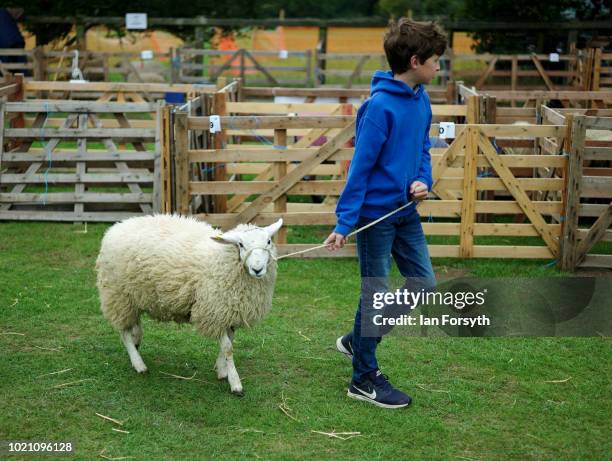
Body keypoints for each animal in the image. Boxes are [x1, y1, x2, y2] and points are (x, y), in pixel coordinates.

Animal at [96, 214, 284, 394]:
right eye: (241, 244)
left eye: (268, 241)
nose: (257, 269)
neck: (221, 259)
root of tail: (118, 226)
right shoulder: (213, 311)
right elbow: (228, 348)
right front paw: (235, 383)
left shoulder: (229, 312)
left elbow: (229, 342)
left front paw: (222, 370)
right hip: (118, 296)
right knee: (124, 332)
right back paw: (138, 364)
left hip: (134, 297)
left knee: (135, 326)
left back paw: (137, 343)